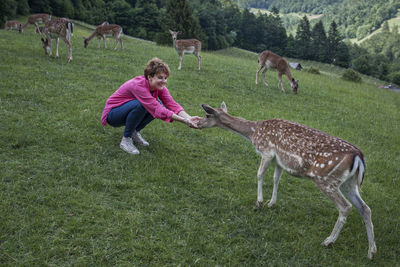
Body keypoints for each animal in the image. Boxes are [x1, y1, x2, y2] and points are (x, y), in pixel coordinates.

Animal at [198, 102, 376, 260]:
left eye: (207, 115)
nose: (198, 122)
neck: (253, 133)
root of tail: (359, 157)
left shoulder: (267, 151)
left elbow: (259, 174)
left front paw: (259, 203)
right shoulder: (279, 160)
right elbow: (276, 179)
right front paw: (271, 202)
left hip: (325, 179)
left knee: (346, 207)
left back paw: (328, 241)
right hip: (349, 183)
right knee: (365, 208)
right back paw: (371, 252)